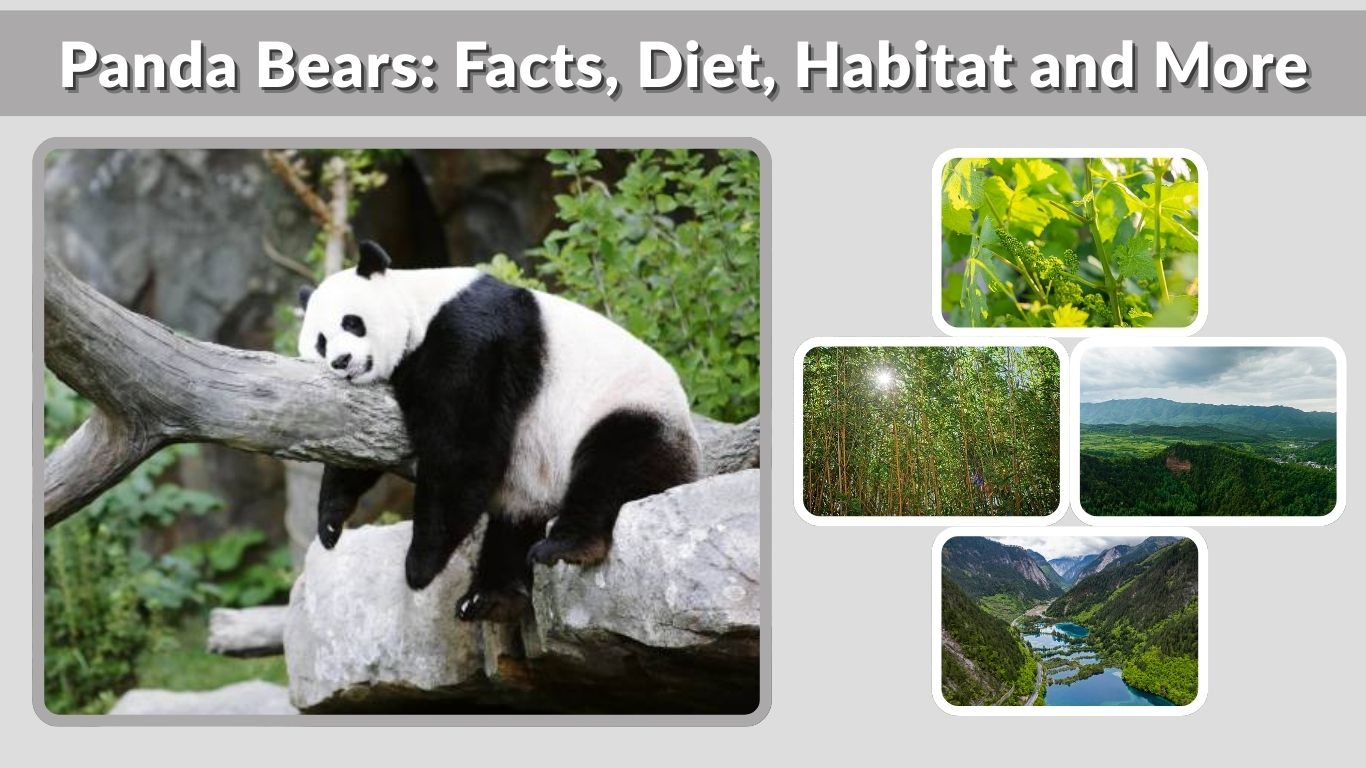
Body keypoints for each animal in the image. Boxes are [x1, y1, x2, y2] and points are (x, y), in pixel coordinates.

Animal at [297, 241, 701, 622]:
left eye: (352, 322)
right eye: (320, 341)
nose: (341, 361)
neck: (420, 306)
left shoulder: (470, 340)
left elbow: (461, 449)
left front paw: (419, 566)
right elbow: (358, 443)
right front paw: (330, 522)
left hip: (632, 410)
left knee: (612, 467)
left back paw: (565, 547)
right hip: (533, 482)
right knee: (513, 524)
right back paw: (489, 598)